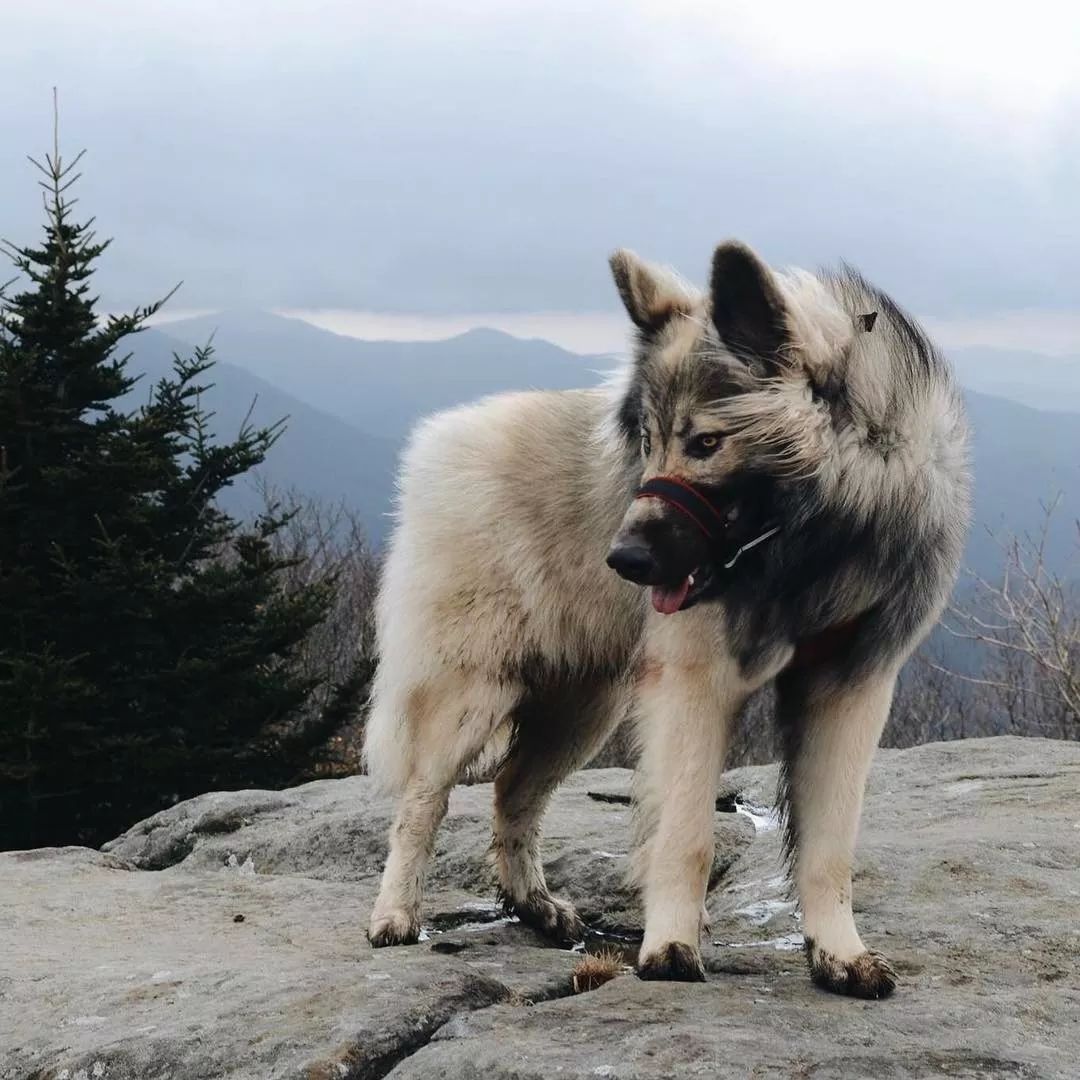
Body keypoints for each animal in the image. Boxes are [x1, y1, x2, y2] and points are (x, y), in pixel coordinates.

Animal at [362, 240, 972, 997]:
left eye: (706, 443)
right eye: (647, 441)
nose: (621, 558)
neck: (815, 543)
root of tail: (441, 440)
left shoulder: (849, 689)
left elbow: (829, 848)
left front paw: (838, 951)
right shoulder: (694, 685)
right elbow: (685, 836)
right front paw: (672, 946)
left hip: (582, 708)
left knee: (514, 793)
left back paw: (534, 904)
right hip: (471, 696)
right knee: (423, 801)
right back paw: (395, 914)